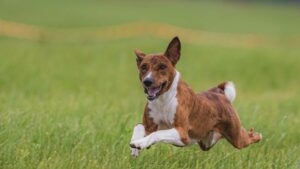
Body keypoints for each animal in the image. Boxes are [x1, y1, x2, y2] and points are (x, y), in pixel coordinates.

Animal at [130, 36, 262, 157]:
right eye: (143, 67)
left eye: (162, 66)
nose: (147, 81)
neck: (163, 100)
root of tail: (219, 92)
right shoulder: (150, 126)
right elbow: (138, 126)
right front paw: (136, 145)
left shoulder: (181, 133)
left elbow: (156, 134)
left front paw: (140, 143)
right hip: (207, 141)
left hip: (237, 138)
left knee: (250, 138)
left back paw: (256, 135)